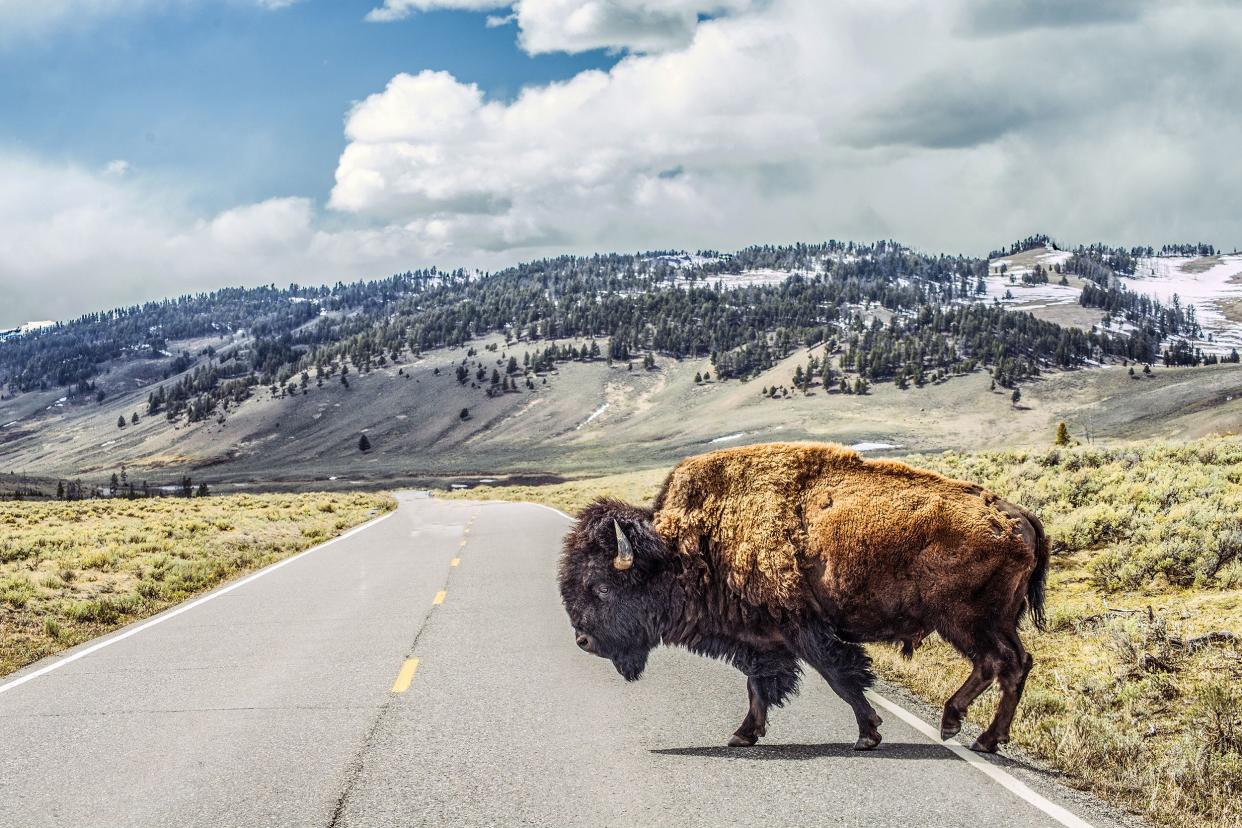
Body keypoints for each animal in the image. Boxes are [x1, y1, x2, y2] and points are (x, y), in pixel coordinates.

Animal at [561, 444, 1048, 754]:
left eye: (601, 586)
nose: (583, 641)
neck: (692, 544)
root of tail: (1017, 514)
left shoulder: (804, 629)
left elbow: (840, 677)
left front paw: (868, 734)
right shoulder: (760, 639)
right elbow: (758, 684)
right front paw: (743, 734)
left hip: (965, 621)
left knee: (996, 662)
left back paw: (959, 728)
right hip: (996, 621)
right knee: (1015, 664)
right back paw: (983, 737)